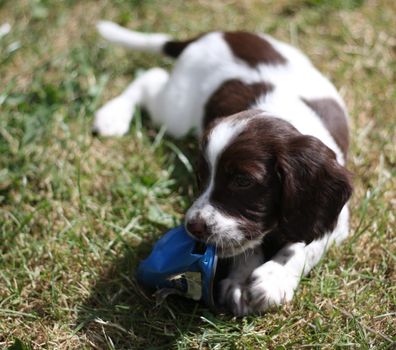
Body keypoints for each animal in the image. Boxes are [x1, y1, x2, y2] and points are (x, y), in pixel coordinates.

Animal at [93, 21, 352, 318]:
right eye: (201, 176)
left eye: (242, 181)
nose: (192, 227)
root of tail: (212, 35)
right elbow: (247, 247)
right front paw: (240, 279)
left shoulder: (336, 219)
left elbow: (305, 244)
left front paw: (274, 278)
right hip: (177, 113)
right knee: (151, 77)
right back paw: (113, 115)